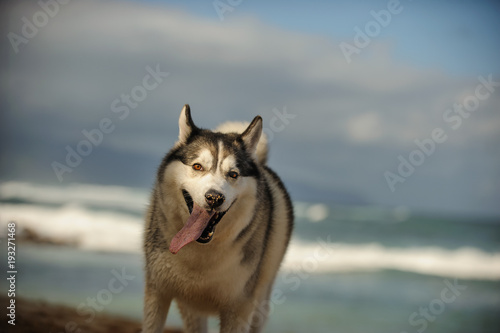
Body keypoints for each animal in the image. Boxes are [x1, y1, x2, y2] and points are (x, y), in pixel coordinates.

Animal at [143, 104, 292, 332]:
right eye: (197, 166)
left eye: (233, 174)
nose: (214, 198)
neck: (201, 254)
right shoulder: (158, 293)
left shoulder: (239, 308)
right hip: (191, 307)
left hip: (260, 303)